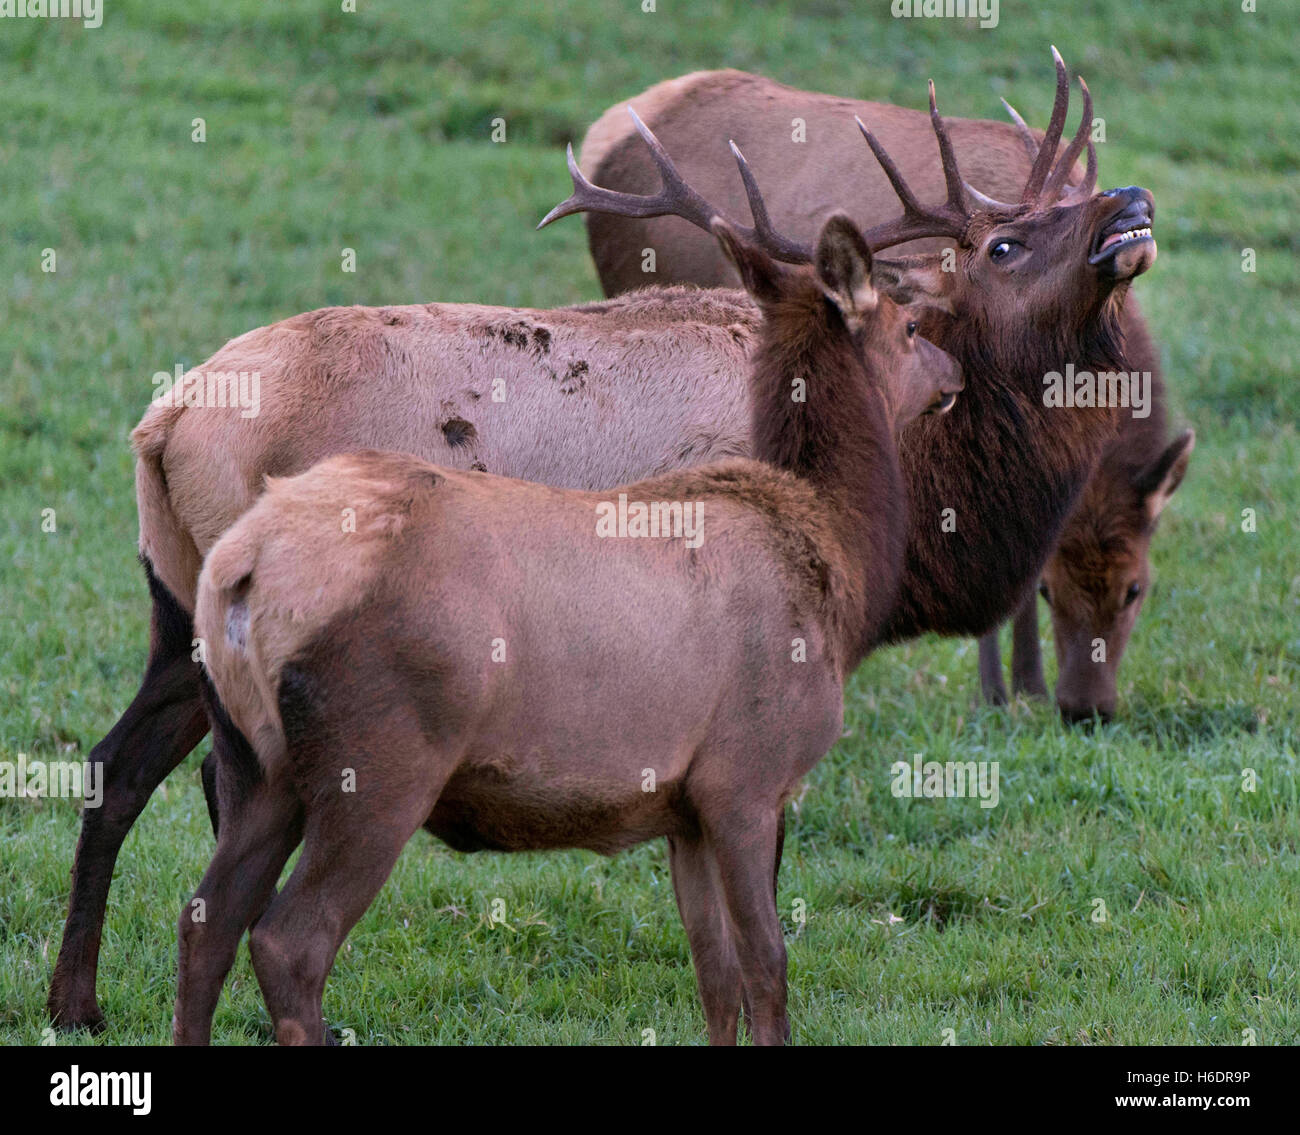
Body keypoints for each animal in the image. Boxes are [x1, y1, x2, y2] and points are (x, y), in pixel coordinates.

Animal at [174, 214, 963, 1046]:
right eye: (912, 324)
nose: (956, 373)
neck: (840, 562)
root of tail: (241, 573)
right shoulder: (747, 775)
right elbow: (767, 967)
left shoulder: (684, 808)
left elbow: (714, 977)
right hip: (380, 758)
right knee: (290, 940)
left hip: (256, 759)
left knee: (205, 919)